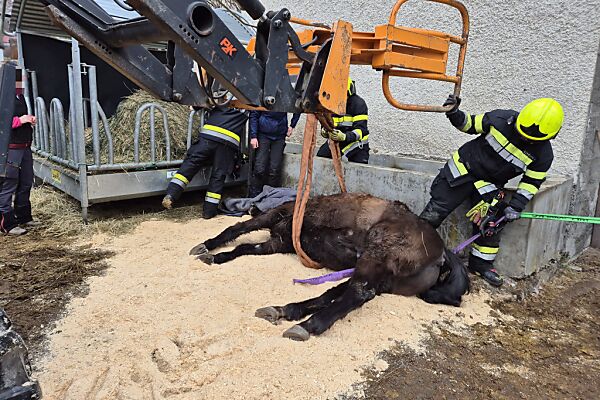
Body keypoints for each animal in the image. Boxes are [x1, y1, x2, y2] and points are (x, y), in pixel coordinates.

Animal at [190, 193, 472, 340]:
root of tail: (441, 253)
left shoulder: (273, 219)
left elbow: (237, 229)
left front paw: (206, 247)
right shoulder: (278, 242)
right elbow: (243, 248)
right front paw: (217, 257)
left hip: (375, 252)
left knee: (358, 292)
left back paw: (307, 325)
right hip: (382, 277)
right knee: (337, 293)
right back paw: (285, 310)